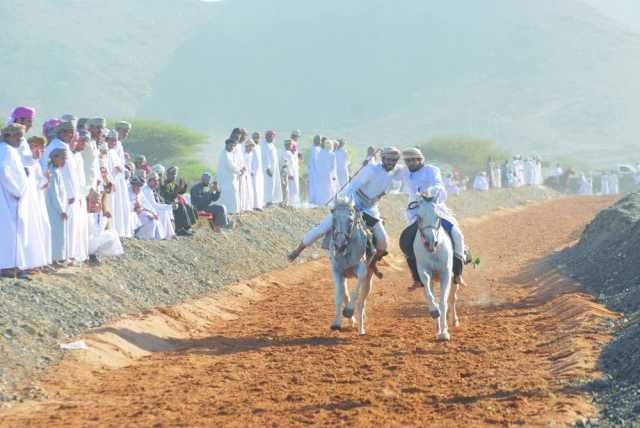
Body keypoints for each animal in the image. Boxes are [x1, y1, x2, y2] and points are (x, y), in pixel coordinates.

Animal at [330, 199, 376, 336]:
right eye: (333, 219)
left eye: (350, 220)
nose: (339, 246)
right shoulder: (337, 271)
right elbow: (339, 297)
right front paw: (336, 323)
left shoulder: (362, 270)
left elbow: (356, 294)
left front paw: (349, 311)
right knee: (345, 294)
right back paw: (353, 322)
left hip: (369, 277)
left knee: (362, 301)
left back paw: (361, 328)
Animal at [412, 193, 458, 342]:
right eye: (419, 217)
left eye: (437, 216)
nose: (430, 243)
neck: (434, 252)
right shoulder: (424, 272)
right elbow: (429, 293)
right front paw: (434, 312)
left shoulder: (446, 274)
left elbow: (444, 301)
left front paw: (444, 333)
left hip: (455, 279)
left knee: (452, 298)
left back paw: (454, 320)